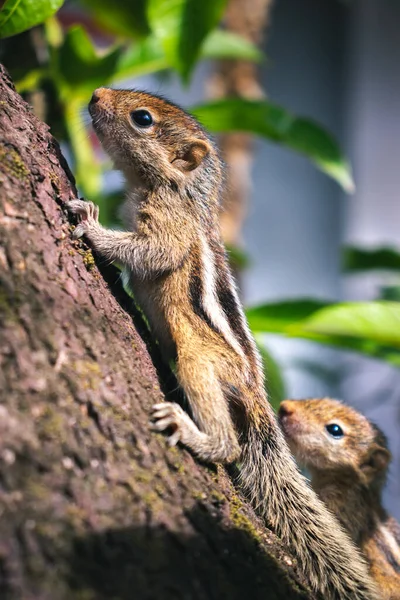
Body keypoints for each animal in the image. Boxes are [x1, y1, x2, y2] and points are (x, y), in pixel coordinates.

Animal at [68, 89, 378, 600]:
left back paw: (197, 434)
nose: (96, 94)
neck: (184, 190)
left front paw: (91, 225)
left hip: (200, 360)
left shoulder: (169, 224)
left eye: (142, 119)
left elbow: (150, 251)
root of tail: (256, 396)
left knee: (229, 445)